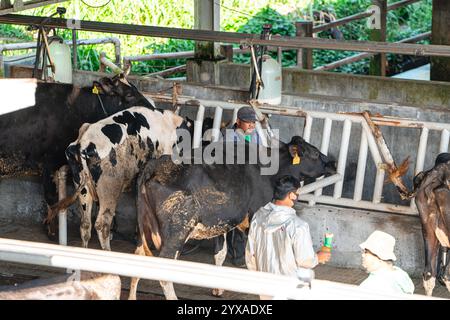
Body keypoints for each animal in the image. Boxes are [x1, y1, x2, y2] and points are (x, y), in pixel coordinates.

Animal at [128, 136, 336, 298]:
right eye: (314, 153)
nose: (332, 163)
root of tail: (155, 164)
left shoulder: (220, 222)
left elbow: (220, 253)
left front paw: (218, 289)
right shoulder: (254, 218)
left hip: (142, 227)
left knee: (137, 258)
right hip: (176, 231)